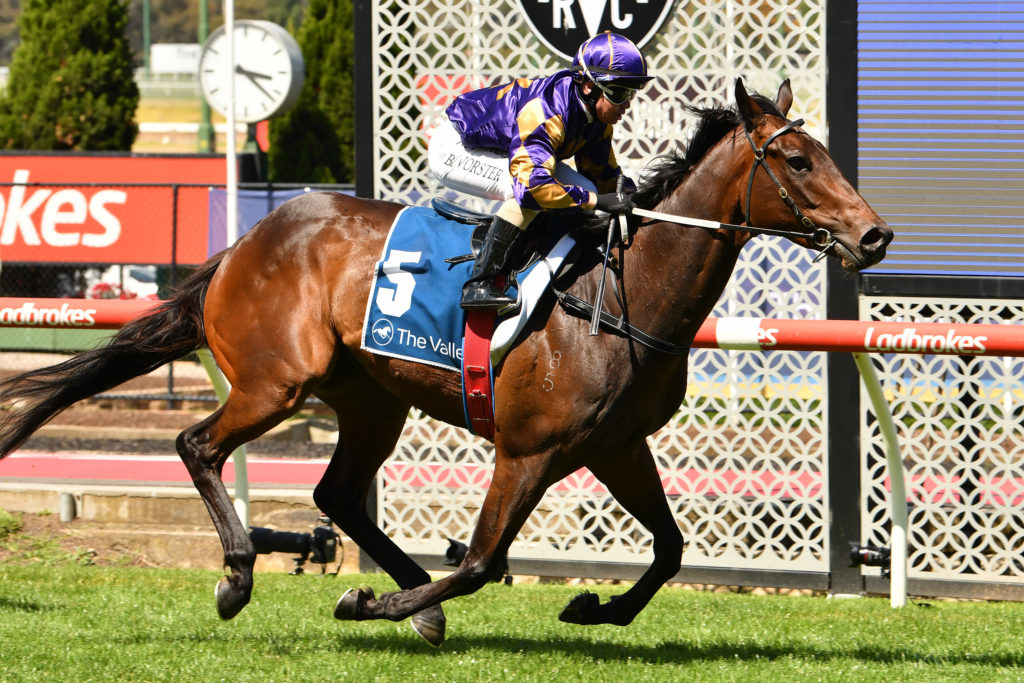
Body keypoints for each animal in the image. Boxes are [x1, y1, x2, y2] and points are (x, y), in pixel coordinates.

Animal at [0, 79, 892, 646]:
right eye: (799, 161)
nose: (875, 233)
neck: (619, 290)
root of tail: (242, 246)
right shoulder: (528, 448)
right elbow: (481, 561)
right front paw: (369, 602)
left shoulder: (614, 444)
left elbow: (670, 550)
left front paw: (592, 607)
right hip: (276, 381)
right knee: (198, 445)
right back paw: (241, 575)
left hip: (370, 399)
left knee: (335, 493)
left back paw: (402, 598)